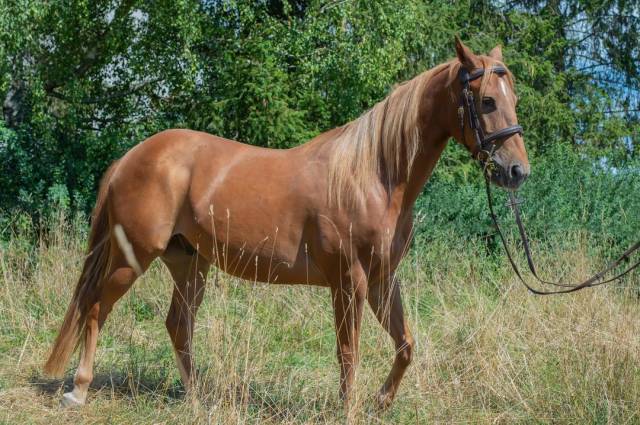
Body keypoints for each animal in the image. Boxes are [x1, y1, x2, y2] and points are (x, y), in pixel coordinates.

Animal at [44, 38, 530, 409]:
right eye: (487, 100)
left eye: (514, 99)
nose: (517, 171)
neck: (372, 174)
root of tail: (131, 157)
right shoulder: (348, 281)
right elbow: (348, 353)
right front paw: (350, 410)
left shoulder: (381, 280)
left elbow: (406, 346)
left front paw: (380, 402)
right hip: (133, 258)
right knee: (96, 310)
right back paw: (79, 391)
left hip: (190, 264)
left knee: (177, 325)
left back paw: (198, 397)